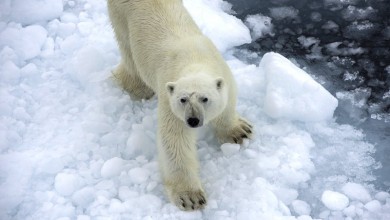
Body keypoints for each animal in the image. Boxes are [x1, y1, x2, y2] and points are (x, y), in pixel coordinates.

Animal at [107, 0, 253, 211]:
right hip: (121, 19)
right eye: (183, 99)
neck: (194, 60)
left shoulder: (224, 75)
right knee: (129, 55)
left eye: (205, 98)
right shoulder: (170, 99)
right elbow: (175, 141)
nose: (193, 120)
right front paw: (191, 198)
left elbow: (227, 107)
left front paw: (240, 131)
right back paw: (138, 88)